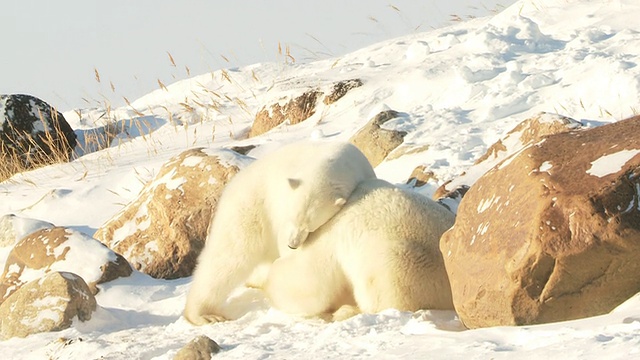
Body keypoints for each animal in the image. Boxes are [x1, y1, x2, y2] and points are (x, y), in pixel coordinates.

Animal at [182, 140, 376, 324]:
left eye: (310, 226)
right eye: (292, 217)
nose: (293, 245)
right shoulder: (279, 207)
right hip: (248, 209)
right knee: (228, 257)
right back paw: (203, 315)